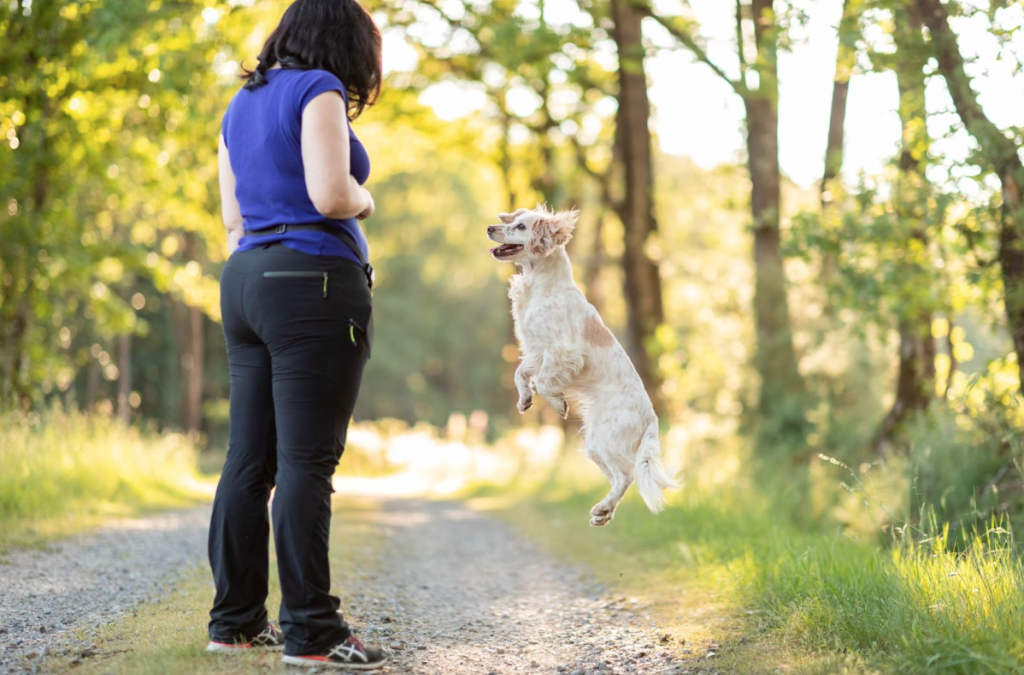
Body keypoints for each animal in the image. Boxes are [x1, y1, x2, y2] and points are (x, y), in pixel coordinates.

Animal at [489, 205, 679, 528]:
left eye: (521, 226)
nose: (490, 228)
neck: (540, 286)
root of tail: (651, 417)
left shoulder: (564, 352)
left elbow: (544, 382)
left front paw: (557, 403)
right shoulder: (537, 350)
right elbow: (521, 373)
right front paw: (524, 399)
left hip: (603, 437)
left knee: (626, 475)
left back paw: (603, 508)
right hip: (594, 444)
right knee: (619, 477)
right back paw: (603, 513)